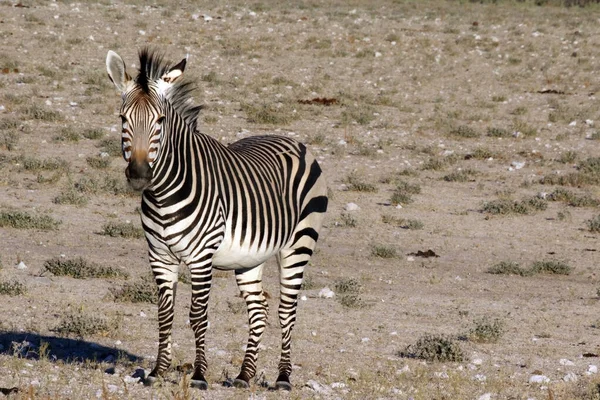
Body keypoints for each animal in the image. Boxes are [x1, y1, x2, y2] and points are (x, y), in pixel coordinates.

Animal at [104, 47, 328, 390]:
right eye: (122, 118)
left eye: (160, 120)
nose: (140, 174)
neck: (163, 193)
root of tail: (293, 141)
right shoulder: (159, 257)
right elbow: (164, 314)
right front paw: (158, 371)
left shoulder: (201, 258)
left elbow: (198, 316)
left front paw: (198, 375)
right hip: (250, 257)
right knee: (259, 309)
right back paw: (245, 375)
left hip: (298, 245)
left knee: (286, 311)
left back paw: (283, 377)